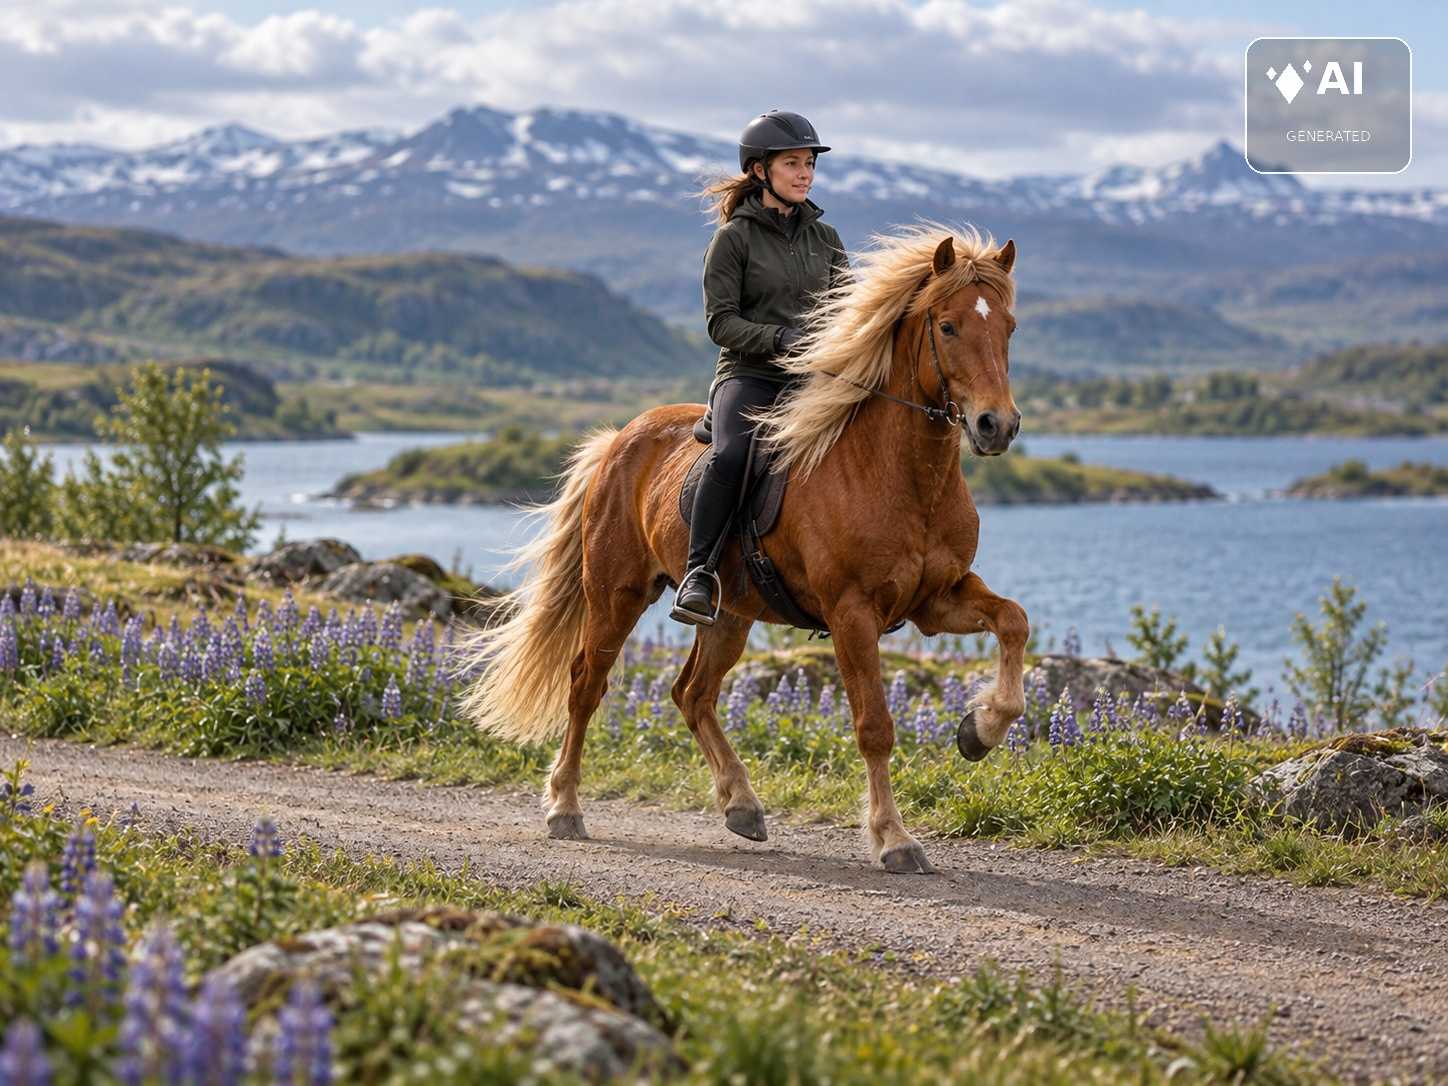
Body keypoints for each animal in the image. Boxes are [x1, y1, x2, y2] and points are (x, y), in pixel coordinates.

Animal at [455, 222, 1029, 875]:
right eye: (949, 326)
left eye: (1008, 327)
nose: (996, 426)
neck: (901, 473)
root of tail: (618, 440)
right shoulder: (852, 612)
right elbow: (874, 726)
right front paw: (894, 839)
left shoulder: (937, 599)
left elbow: (1014, 621)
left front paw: (980, 730)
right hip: (616, 596)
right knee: (586, 686)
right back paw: (565, 809)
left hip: (728, 613)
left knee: (691, 694)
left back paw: (742, 805)